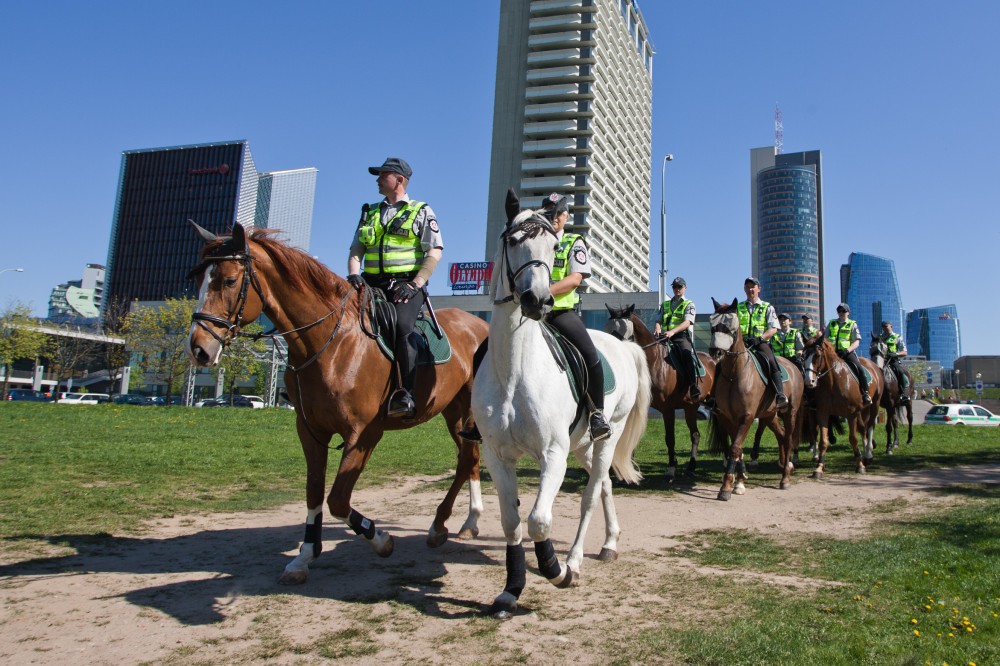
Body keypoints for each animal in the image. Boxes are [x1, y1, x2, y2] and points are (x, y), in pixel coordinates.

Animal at [186, 222, 490, 580]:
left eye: (230, 281)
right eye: (198, 280)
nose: (198, 348)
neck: (332, 342)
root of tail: (480, 323)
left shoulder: (364, 434)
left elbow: (338, 500)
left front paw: (381, 539)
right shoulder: (310, 431)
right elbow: (314, 492)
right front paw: (304, 556)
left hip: (467, 410)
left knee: (468, 458)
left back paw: (452, 523)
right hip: (454, 412)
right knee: (468, 459)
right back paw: (455, 524)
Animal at [472, 189, 652, 620]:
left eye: (555, 248)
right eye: (512, 240)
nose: (536, 300)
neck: (514, 370)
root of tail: (622, 345)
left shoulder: (552, 454)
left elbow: (539, 520)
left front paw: (555, 571)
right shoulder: (496, 456)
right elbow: (511, 522)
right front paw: (511, 590)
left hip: (606, 437)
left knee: (590, 494)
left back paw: (573, 559)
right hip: (583, 445)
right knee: (604, 486)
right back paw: (609, 543)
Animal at [604, 304, 716, 480]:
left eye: (622, 333)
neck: (654, 362)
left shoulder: (668, 409)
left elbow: (670, 438)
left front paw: (671, 468)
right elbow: (631, 435)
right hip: (691, 407)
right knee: (696, 434)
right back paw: (692, 467)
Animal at [704, 296, 804, 498]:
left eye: (730, 327)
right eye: (713, 325)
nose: (716, 352)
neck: (735, 373)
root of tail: (794, 366)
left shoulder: (747, 416)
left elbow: (735, 447)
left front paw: (727, 487)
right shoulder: (727, 417)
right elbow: (737, 448)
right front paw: (739, 481)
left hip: (790, 412)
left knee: (789, 438)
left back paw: (785, 478)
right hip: (770, 415)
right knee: (782, 434)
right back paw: (787, 466)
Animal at [800, 334, 888, 474]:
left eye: (817, 355)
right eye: (803, 356)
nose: (809, 381)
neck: (833, 381)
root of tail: (873, 365)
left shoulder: (851, 413)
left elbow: (853, 439)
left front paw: (859, 465)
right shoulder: (823, 412)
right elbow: (823, 441)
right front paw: (819, 467)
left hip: (874, 405)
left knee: (869, 427)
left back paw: (868, 455)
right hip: (860, 411)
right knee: (863, 428)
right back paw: (865, 455)